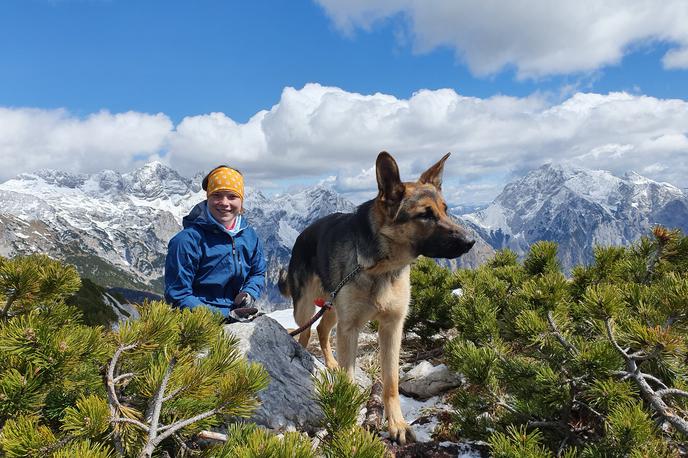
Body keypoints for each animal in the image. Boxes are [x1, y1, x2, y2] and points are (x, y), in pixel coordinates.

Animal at [276, 152, 476, 442]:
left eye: (445, 209)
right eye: (425, 215)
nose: (470, 241)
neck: (380, 266)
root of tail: (302, 234)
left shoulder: (392, 327)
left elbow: (391, 382)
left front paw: (397, 424)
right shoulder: (350, 329)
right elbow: (349, 380)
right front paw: (348, 425)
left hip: (332, 307)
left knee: (323, 329)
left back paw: (331, 362)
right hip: (307, 307)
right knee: (306, 332)